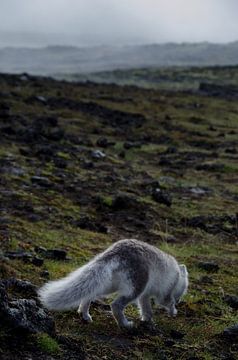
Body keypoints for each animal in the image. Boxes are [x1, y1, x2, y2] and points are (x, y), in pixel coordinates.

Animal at [38, 239, 189, 330]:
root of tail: (114, 253)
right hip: (136, 287)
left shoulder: (144, 296)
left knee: (89, 294)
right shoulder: (163, 293)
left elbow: (146, 309)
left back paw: (85, 314)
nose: (180, 301)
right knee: (115, 305)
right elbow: (166, 302)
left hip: (108, 285)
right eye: (184, 290)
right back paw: (125, 325)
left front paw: (148, 321)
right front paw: (173, 311)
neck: (178, 277)